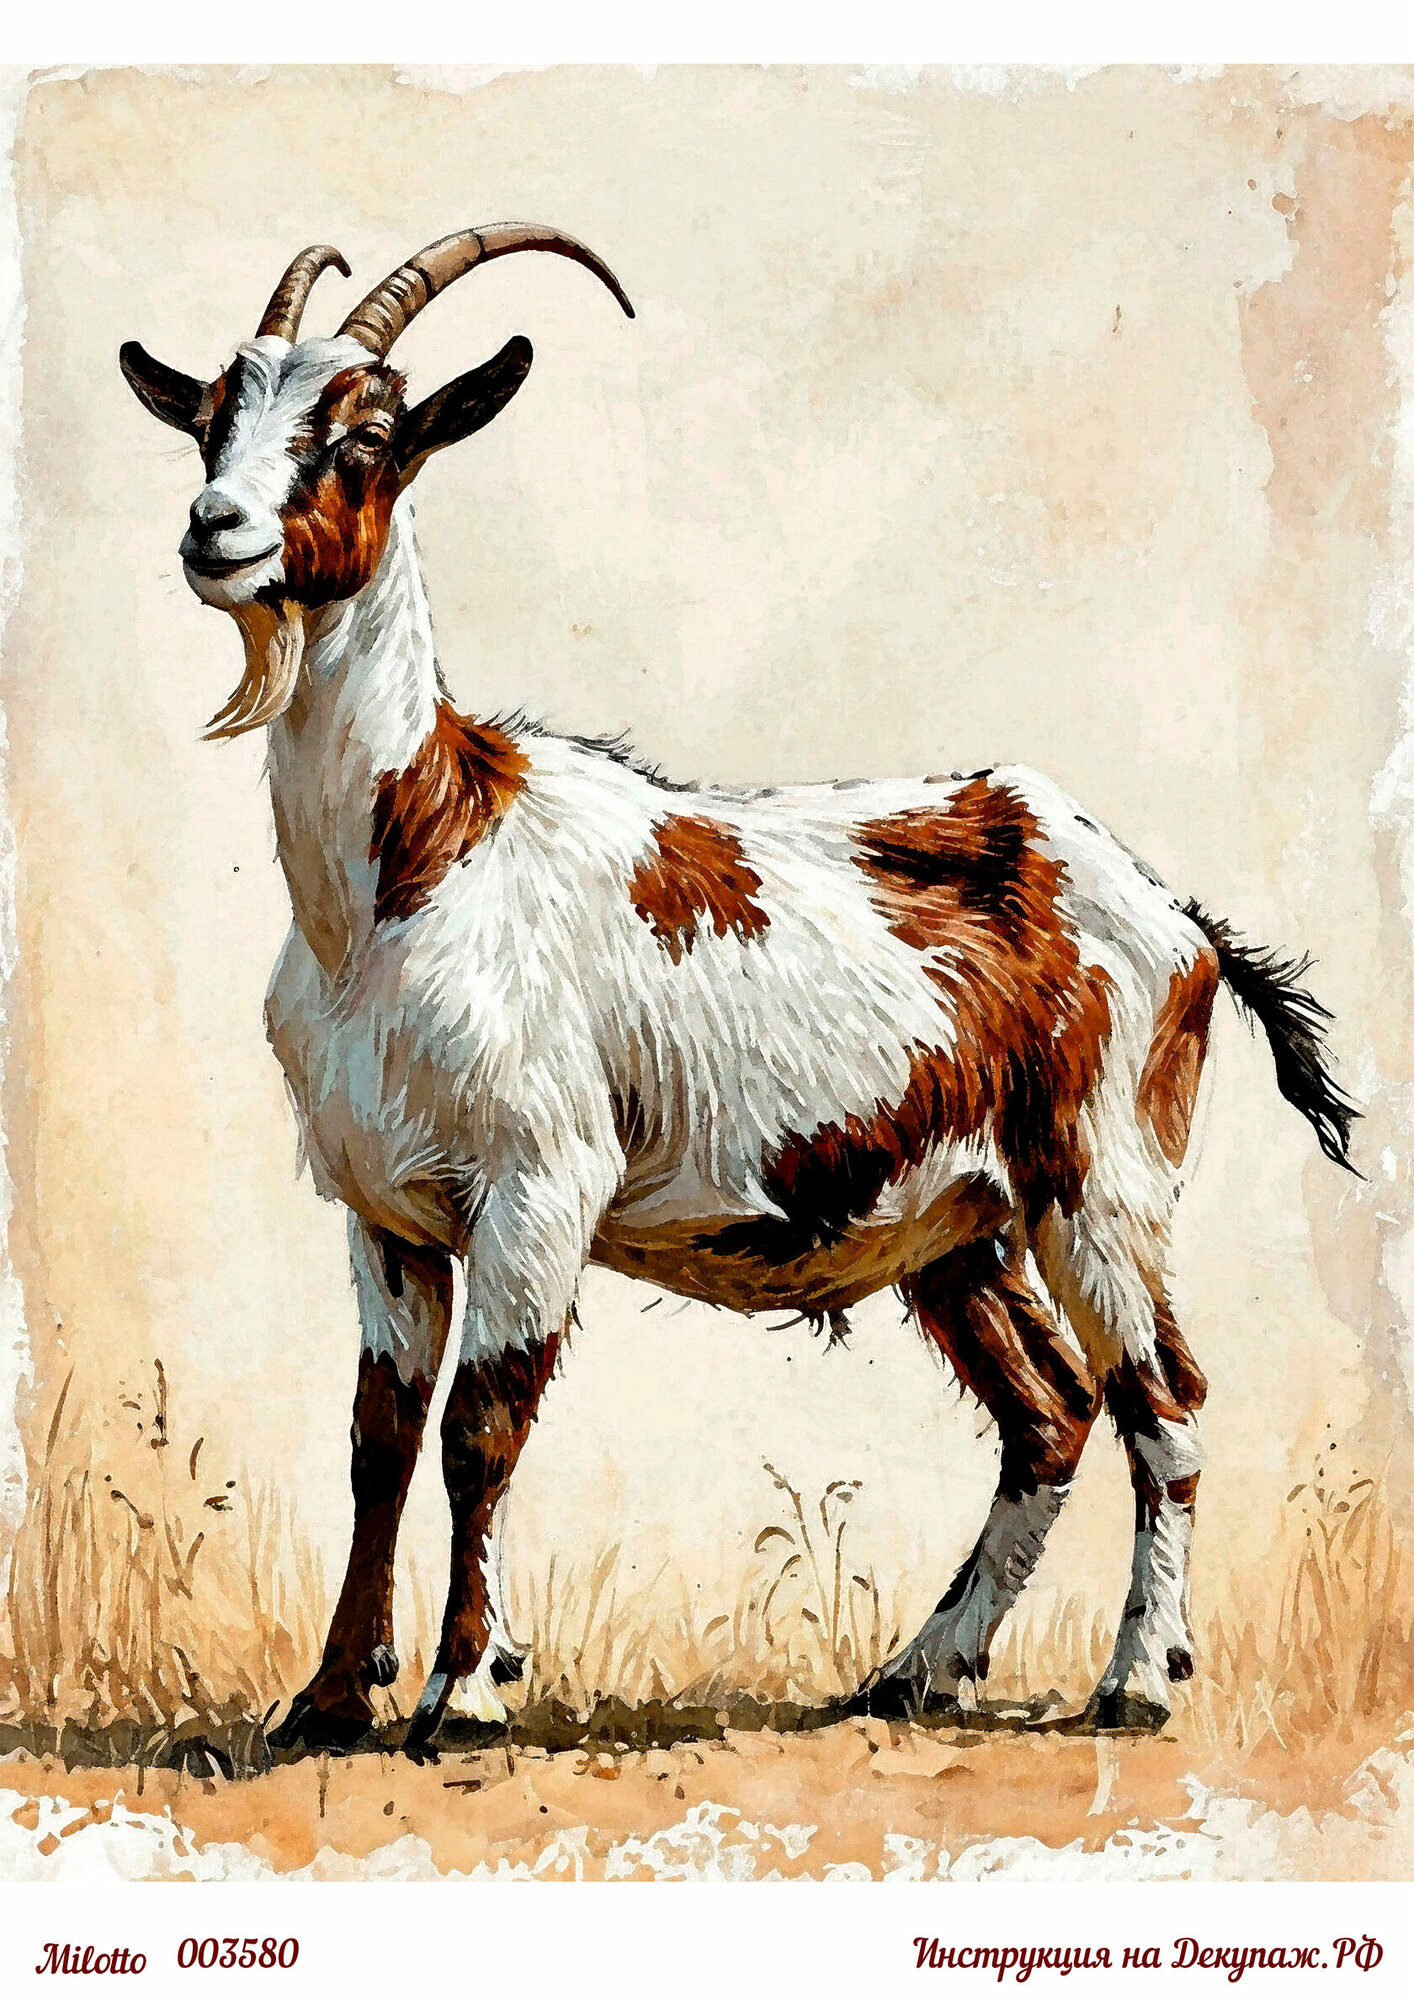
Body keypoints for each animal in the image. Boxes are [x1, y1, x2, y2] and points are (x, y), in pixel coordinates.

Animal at [120, 227, 1358, 1759]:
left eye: (361, 436)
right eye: (210, 420)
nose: (213, 530)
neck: (415, 858)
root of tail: (1178, 920)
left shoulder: (538, 1186)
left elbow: (480, 1430)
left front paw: (464, 1689)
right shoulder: (386, 1215)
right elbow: (379, 1442)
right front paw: (331, 1698)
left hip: (1100, 1180)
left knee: (1161, 1400)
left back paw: (1134, 1680)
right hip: (961, 1226)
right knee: (1049, 1414)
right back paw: (914, 1671)